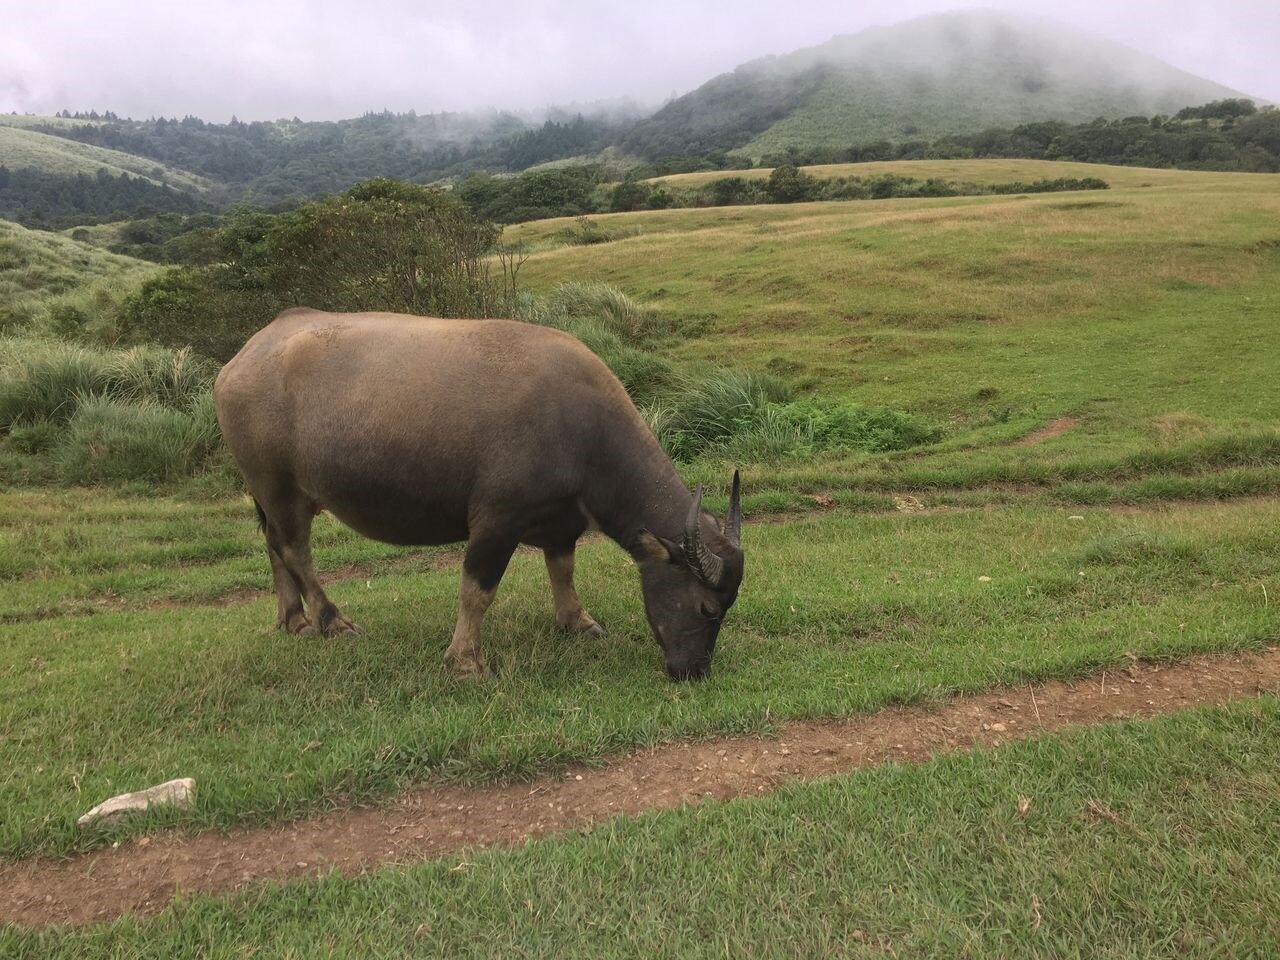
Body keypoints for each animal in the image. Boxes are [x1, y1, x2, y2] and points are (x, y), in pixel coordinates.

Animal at [215, 312, 747, 680]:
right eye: (707, 608)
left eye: (726, 608)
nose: (693, 670)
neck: (579, 427)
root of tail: (242, 358)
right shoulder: (496, 521)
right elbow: (477, 590)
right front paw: (466, 661)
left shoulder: (561, 524)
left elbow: (563, 570)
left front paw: (577, 622)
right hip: (278, 486)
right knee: (295, 551)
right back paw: (331, 621)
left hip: (274, 496)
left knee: (273, 546)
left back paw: (293, 620)